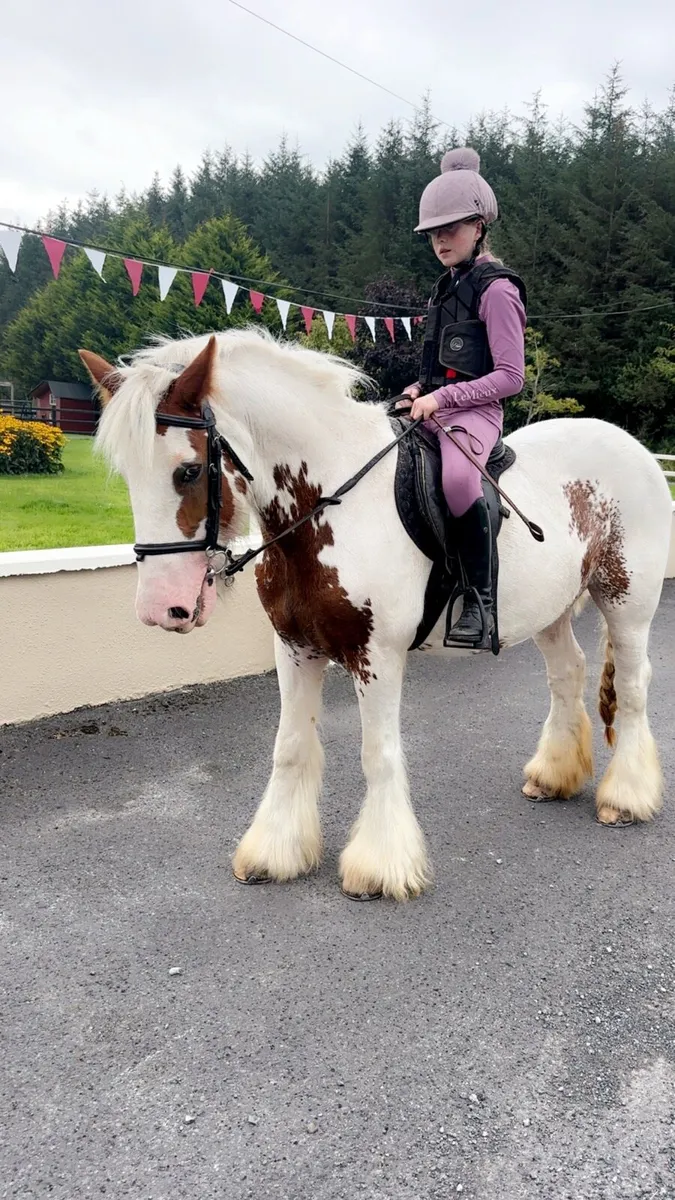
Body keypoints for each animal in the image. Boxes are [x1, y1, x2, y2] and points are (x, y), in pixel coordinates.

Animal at [80, 329, 672, 901]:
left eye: (188, 471)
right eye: (127, 475)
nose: (161, 608)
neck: (327, 503)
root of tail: (634, 449)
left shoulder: (376, 656)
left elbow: (378, 754)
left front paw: (380, 867)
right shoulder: (295, 648)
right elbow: (289, 748)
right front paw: (275, 853)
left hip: (627, 601)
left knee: (633, 687)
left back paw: (626, 797)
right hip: (551, 610)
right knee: (567, 673)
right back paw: (553, 776)